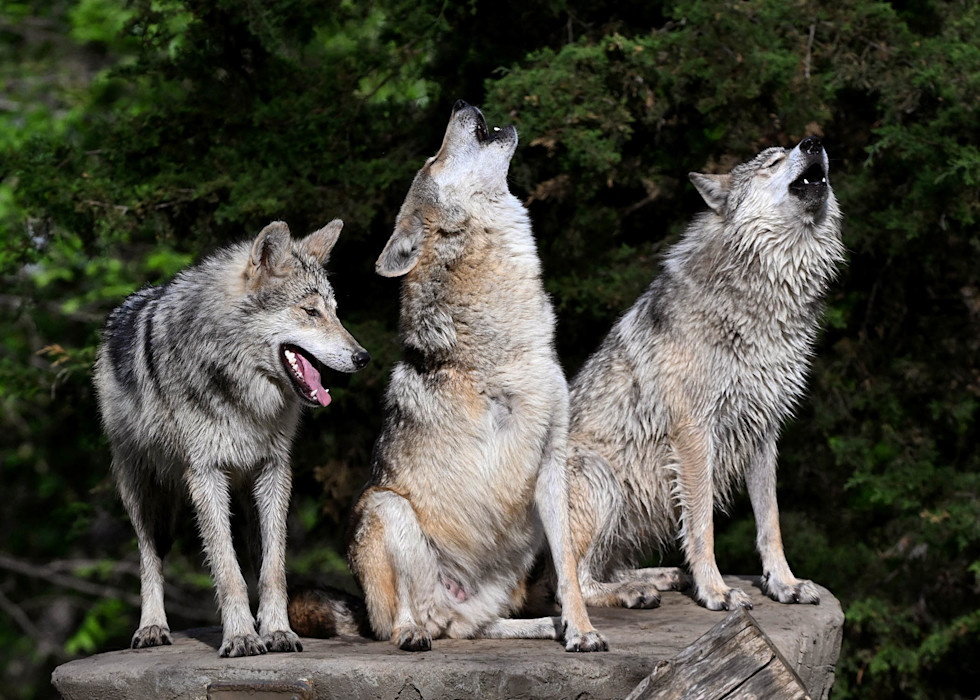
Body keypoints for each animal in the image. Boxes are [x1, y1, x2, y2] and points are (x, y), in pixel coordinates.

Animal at [94, 219, 371, 657]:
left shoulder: (274, 472)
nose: (363, 357)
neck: (242, 395)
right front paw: (240, 637)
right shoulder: (206, 476)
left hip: (246, 498)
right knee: (149, 558)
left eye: (335, 312)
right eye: (311, 311)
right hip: (144, 493)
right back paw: (152, 627)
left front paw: (277, 632)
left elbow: (273, 571)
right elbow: (228, 572)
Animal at [340, 101, 606, 652]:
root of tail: (450, 605)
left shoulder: (552, 460)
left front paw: (581, 630)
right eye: (432, 159)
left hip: (500, 581)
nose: (462, 103)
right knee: (404, 618)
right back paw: (411, 634)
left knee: (476, 628)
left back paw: (544, 626)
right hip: (385, 507)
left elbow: (568, 570)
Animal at [562, 137, 844, 612]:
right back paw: (633, 593)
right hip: (603, 481)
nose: (814, 143)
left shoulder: (763, 433)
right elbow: (701, 526)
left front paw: (783, 584)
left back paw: (659, 577)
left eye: (792, 150)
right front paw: (715, 591)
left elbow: (771, 523)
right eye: (773, 161)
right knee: (571, 583)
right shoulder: (694, 432)